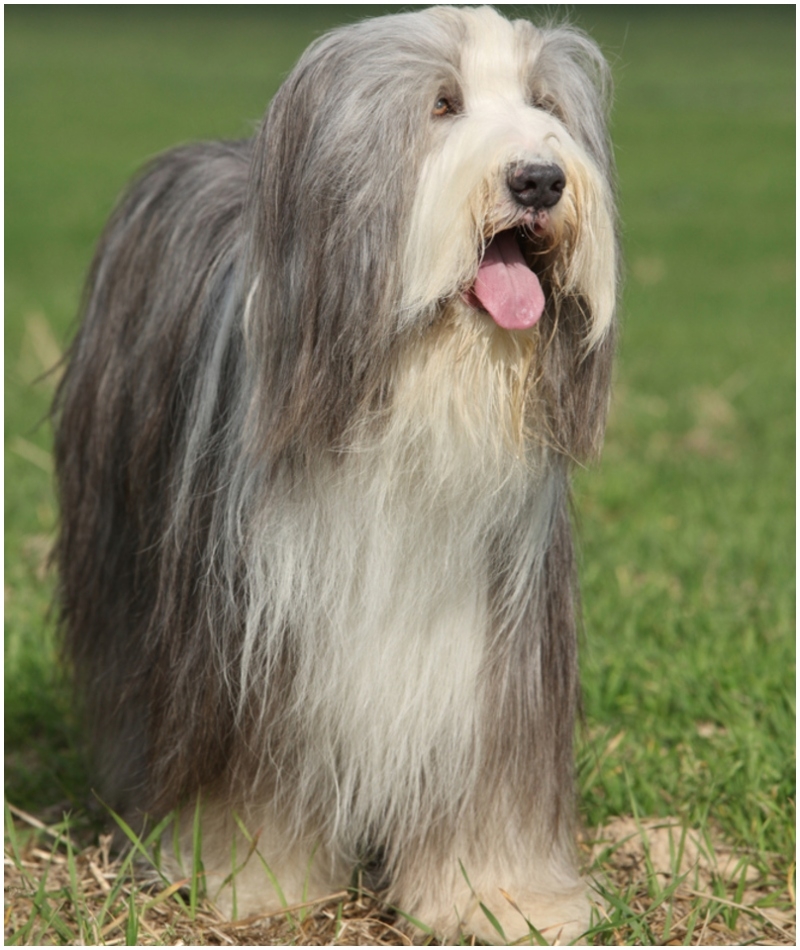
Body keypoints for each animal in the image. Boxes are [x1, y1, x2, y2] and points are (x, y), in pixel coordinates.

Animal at [54, 5, 620, 944]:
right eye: (443, 104)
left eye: (545, 104)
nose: (539, 178)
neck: (418, 392)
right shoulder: (253, 635)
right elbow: (253, 783)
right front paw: (250, 883)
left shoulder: (492, 647)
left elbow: (488, 784)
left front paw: (500, 898)